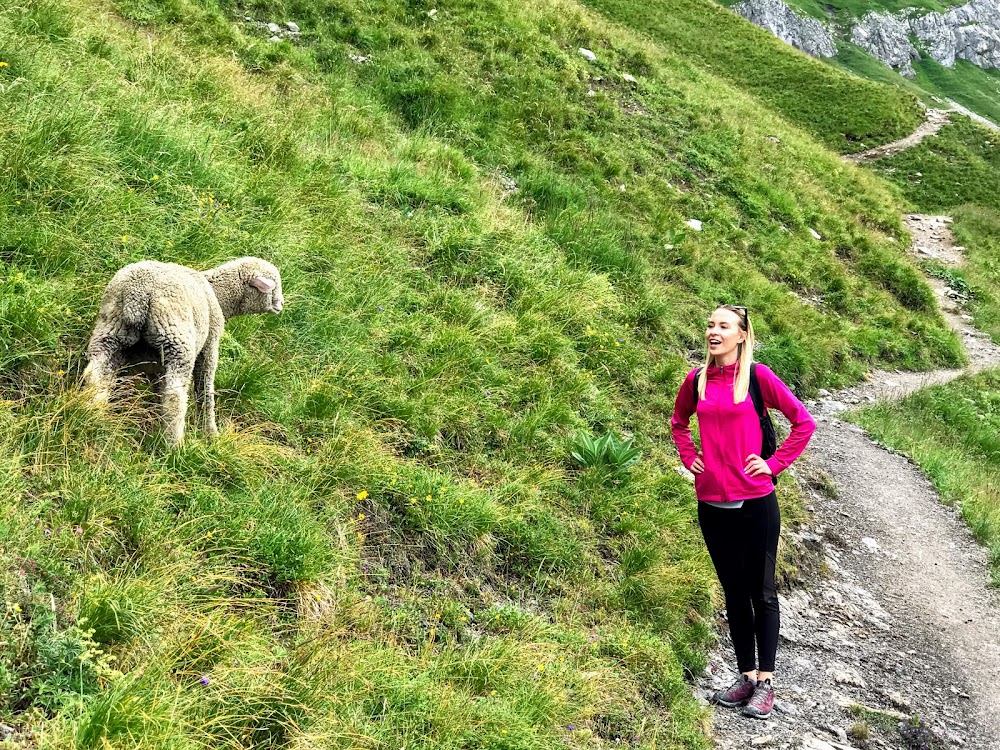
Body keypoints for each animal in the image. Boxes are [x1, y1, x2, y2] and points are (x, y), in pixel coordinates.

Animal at [81, 258, 286, 446]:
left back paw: (94, 415)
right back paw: (175, 444)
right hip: (177, 342)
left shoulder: (155, 363)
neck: (218, 294)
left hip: (110, 331)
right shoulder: (210, 344)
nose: (281, 305)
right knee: (175, 396)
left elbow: (159, 388)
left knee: (95, 375)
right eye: (274, 287)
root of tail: (139, 295)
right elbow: (205, 388)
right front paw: (210, 432)